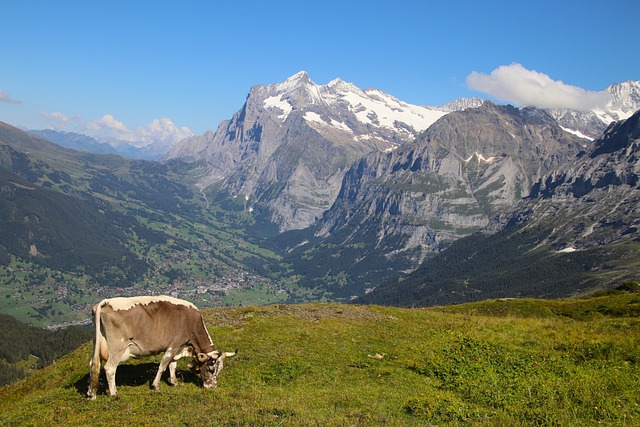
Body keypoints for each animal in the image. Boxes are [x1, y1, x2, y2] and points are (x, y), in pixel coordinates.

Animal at [85, 296, 235, 400]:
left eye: (219, 370)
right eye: (211, 368)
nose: (212, 387)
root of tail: (104, 302)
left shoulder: (178, 348)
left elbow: (172, 365)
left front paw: (174, 382)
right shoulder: (174, 345)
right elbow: (163, 365)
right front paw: (155, 385)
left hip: (97, 342)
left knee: (93, 364)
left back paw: (91, 394)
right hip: (118, 347)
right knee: (109, 368)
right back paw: (114, 393)